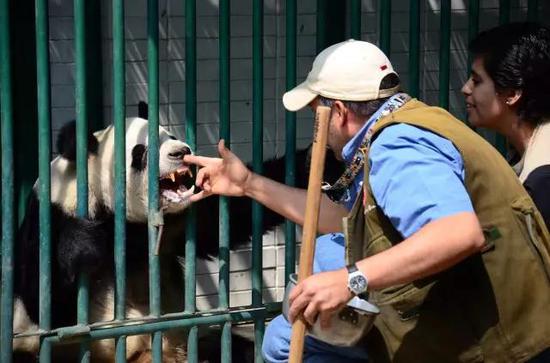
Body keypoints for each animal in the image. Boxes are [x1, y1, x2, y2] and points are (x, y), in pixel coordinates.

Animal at [12, 118, 342, 362]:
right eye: (140, 151)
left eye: (170, 134)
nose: (181, 151)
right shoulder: (51, 213)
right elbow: (48, 307)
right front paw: (82, 244)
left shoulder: (177, 222)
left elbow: (231, 215)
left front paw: (317, 159)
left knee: (235, 349)